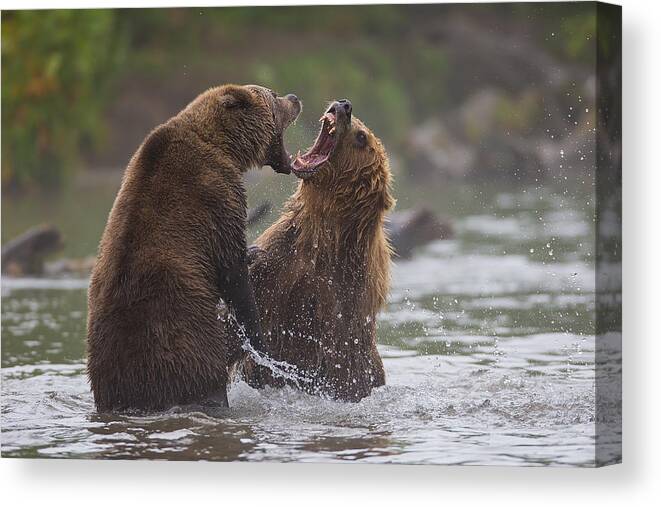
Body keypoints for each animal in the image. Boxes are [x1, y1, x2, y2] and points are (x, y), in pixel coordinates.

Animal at [87, 83, 302, 412]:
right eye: (272, 96)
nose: (294, 98)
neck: (224, 147)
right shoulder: (217, 195)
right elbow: (232, 272)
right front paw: (259, 342)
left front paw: (254, 252)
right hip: (189, 343)